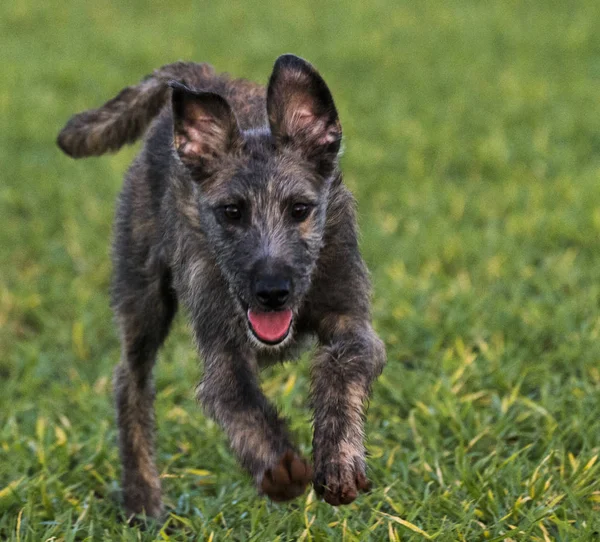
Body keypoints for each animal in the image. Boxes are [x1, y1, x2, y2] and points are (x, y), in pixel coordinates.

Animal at [56, 54, 384, 520]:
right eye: (231, 212)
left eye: (300, 209)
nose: (272, 291)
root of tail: (202, 76)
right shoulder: (222, 341)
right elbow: (237, 396)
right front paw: (279, 465)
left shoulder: (350, 318)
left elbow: (344, 366)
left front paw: (338, 460)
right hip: (142, 292)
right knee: (130, 382)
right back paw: (143, 499)